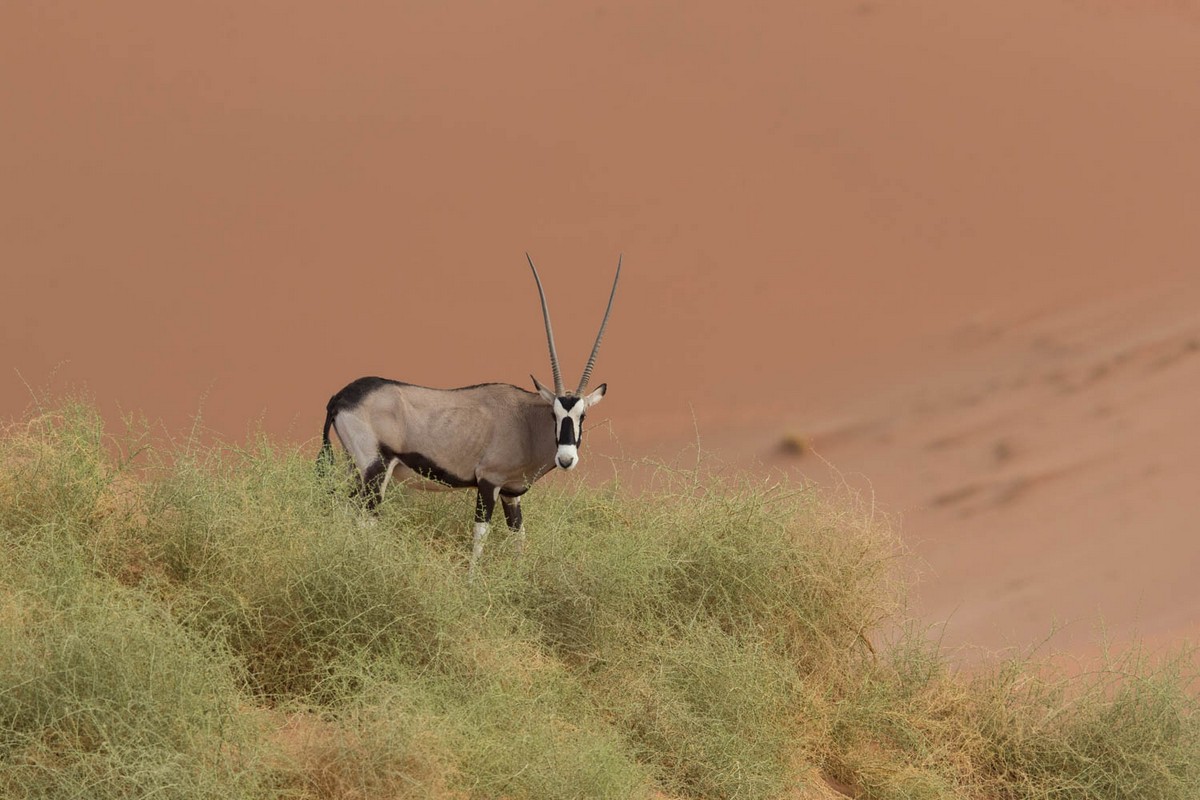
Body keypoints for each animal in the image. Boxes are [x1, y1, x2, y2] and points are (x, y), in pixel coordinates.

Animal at [319, 255, 619, 568]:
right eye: (554, 414)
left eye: (582, 415)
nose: (566, 459)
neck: (525, 421)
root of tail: (339, 397)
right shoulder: (488, 482)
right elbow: (480, 535)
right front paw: (473, 576)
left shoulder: (511, 492)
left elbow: (519, 536)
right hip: (376, 469)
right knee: (365, 518)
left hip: (355, 467)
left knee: (346, 510)